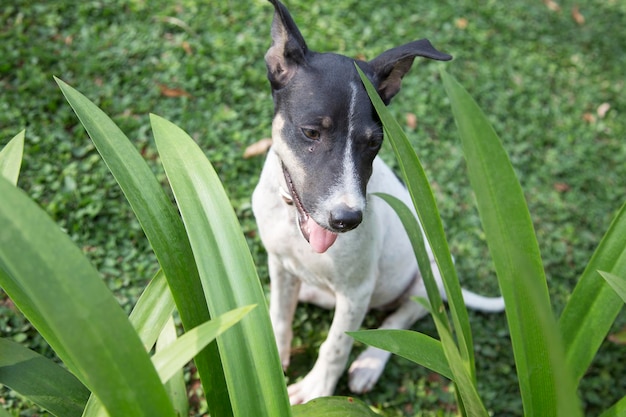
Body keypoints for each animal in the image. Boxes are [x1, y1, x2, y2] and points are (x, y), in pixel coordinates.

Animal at [249, 0, 502, 404]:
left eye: (374, 143)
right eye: (310, 132)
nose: (348, 220)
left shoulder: (357, 291)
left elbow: (336, 345)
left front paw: (318, 389)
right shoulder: (280, 263)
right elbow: (279, 316)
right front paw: (273, 361)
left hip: (430, 277)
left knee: (403, 321)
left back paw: (369, 362)